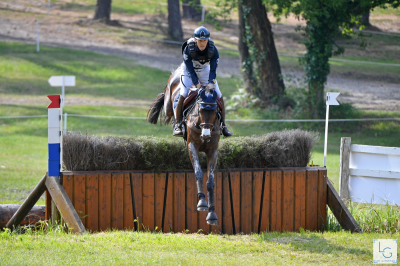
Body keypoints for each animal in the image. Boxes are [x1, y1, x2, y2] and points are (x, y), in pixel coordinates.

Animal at [147, 68, 222, 224]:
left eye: (214, 111)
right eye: (200, 110)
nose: (206, 135)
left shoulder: (213, 151)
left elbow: (211, 181)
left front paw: (212, 214)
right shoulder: (192, 146)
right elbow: (198, 172)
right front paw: (202, 203)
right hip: (170, 102)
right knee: (169, 106)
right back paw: (175, 125)